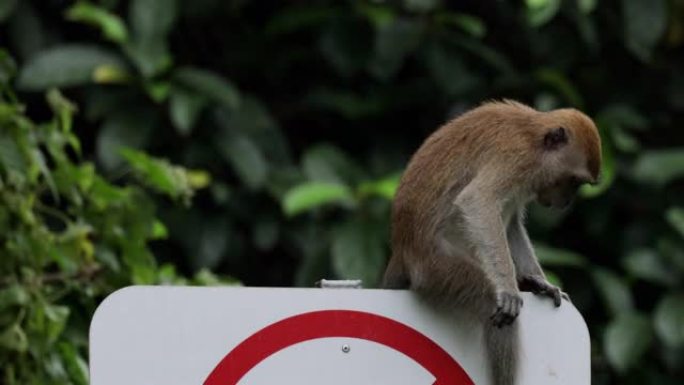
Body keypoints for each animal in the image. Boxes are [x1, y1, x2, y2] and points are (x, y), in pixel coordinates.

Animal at [382, 100, 600, 384]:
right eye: (573, 181)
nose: (566, 202)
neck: (534, 139)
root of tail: (403, 249)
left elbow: (512, 223)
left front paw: (539, 281)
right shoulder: (516, 159)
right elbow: (478, 200)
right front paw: (508, 288)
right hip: (435, 268)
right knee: (488, 300)